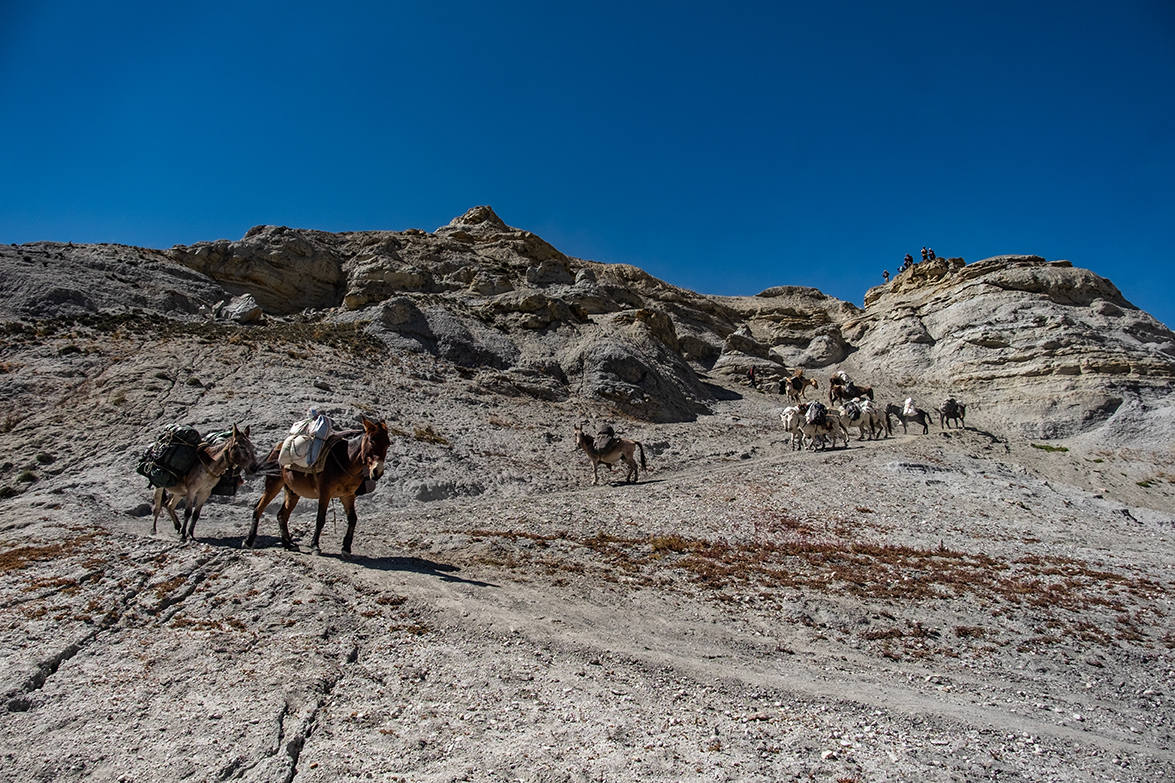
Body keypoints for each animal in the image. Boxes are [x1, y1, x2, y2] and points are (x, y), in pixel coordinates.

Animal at [245, 413, 392, 554]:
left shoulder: (348, 495)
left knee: (282, 515)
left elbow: (352, 519)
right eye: (371, 440)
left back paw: (288, 544)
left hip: (293, 492)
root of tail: (278, 446)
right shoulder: (325, 493)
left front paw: (346, 548)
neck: (346, 460)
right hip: (273, 484)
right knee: (259, 508)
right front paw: (315, 546)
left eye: (388, 443)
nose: (378, 471)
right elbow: (320, 519)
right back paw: (248, 541)